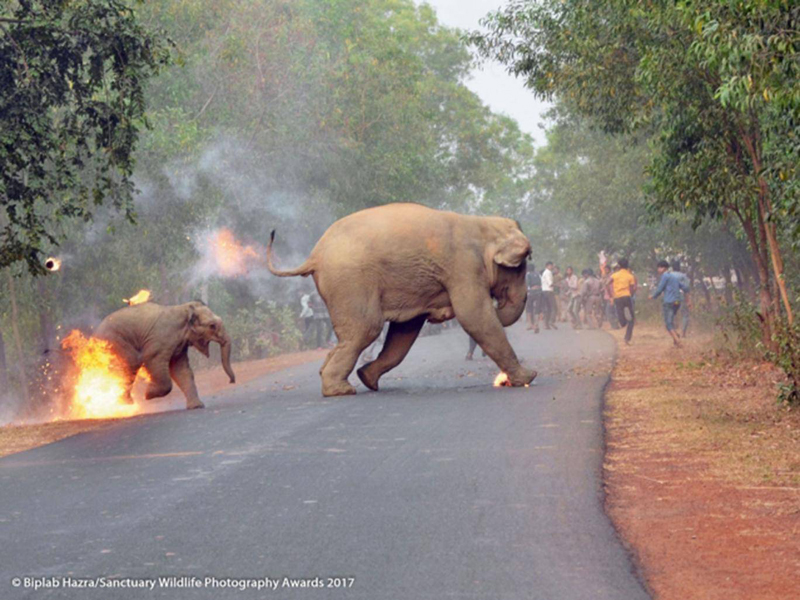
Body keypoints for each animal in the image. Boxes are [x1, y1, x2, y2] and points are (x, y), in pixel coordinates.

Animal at [94, 300, 236, 408]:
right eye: (212, 326)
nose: (231, 381)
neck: (184, 308)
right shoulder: (160, 339)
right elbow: (152, 359)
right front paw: (148, 394)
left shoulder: (180, 346)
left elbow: (181, 370)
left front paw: (197, 406)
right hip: (115, 342)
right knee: (131, 364)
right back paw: (125, 403)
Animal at [268, 204, 536, 396]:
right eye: (521, 267)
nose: (499, 304)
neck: (482, 223)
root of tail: (314, 255)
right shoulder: (464, 266)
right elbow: (474, 316)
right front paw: (528, 378)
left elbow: (405, 331)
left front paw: (367, 377)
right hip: (350, 281)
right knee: (367, 328)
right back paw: (340, 391)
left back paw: (345, 379)